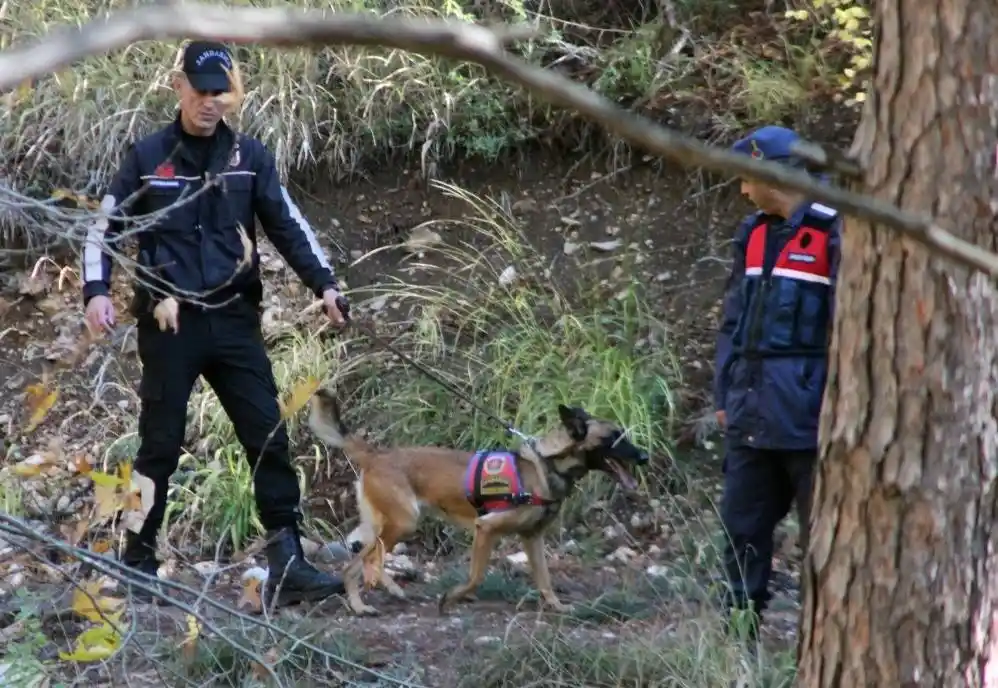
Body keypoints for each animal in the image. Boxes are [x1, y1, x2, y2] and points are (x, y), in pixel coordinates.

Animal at [306, 388, 648, 620]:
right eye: (614, 438)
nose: (645, 456)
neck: (545, 465)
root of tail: (376, 454)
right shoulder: (486, 528)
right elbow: (475, 579)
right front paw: (452, 598)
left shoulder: (532, 537)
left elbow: (545, 580)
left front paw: (557, 606)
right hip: (403, 522)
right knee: (357, 563)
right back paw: (362, 604)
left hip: (385, 524)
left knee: (367, 558)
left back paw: (386, 590)